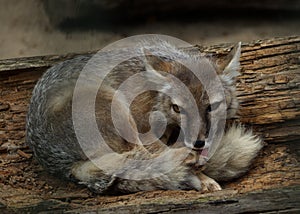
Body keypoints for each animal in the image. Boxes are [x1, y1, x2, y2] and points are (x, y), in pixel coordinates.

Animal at [25, 36, 262, 194]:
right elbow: (158, 152)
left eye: (211, 107)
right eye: (178, 108)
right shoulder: (142, 126)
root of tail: (61, 165)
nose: (198, 143)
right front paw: (200, 174)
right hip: (114, 105)